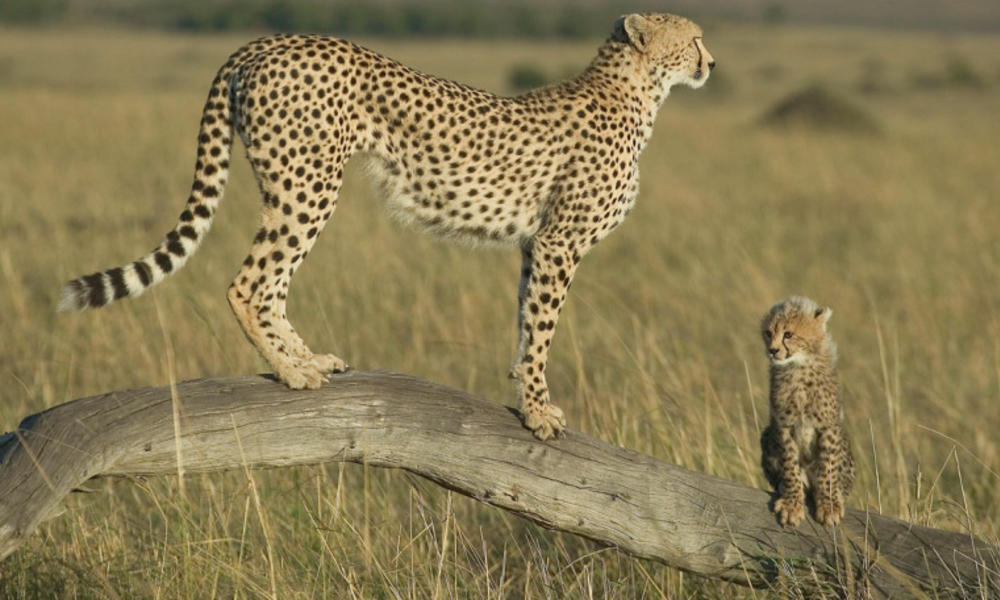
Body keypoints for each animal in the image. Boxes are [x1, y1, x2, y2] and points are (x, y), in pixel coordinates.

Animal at [58, 11, 716, 438]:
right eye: (695, 39)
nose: (711, 62)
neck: (637, 91)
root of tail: (268, 40)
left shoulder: (536, 244)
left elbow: (527, 321)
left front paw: (524, 395)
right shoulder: (561, 242)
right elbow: (544, 330)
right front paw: (537, 412)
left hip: (294, 186)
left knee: (271, 283)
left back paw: (310, 359)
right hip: (308, 185)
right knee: (250, 283)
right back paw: (290, 371)